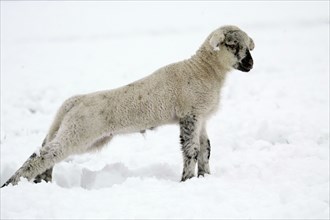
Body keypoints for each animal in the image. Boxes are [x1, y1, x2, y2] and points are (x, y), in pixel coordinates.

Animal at [1, 24, 255, 187]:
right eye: (232, 44)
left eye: (248, 46)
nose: (250, 63)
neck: (203, 70)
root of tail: (73, 102)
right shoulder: (190, 115)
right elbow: (191, 151)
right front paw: (186, 181)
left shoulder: (201, 116)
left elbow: (205, 149)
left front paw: (204, 178)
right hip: (79, 131)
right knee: (44, 155)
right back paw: (12, 184)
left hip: (74, 132)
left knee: (45, 150)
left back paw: (42, 181)